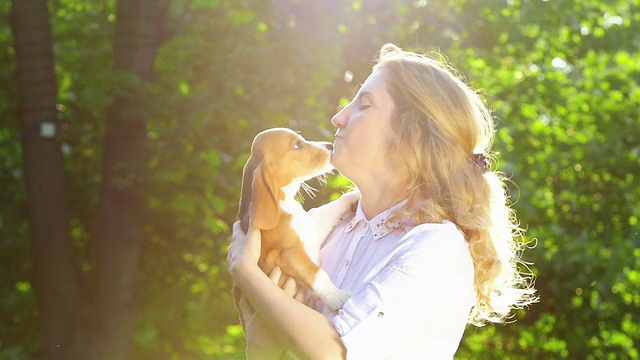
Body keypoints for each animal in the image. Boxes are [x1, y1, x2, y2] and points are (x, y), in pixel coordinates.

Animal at [238, 126, 358, 310]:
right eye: (297, 145)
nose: (330, 145)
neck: (283, 202)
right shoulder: (289, 254)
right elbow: (317, 273)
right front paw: (336, 295)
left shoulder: (310, 232)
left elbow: (327, 211)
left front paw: (354, 195)